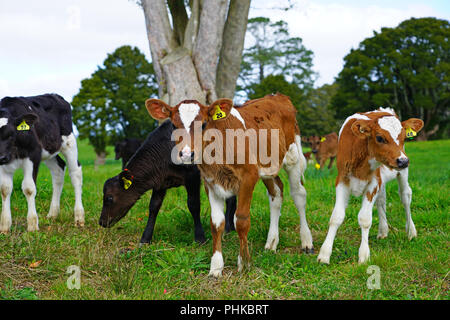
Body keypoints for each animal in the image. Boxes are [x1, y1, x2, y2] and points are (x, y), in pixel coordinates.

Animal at [0, 93, 84, 232]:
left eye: (11, 134)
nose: (2, 157)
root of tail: (56, 95)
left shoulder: (33, 154)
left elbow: (29, 188)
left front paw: (32, 225)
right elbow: (5, 189)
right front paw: (5, 226)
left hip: (69, 141)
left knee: (75, 174)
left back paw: (79, 217)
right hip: (49, 150)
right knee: (58, 171)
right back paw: (53, 214)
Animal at [147, 93, 312, 278]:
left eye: (203, 124)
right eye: (174, 126)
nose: (187, 154)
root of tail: (277, 95)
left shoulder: (249, 176)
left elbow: (241, 220)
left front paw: (244, 262)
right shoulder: (210, 182)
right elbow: (217, 223)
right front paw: (216, 266)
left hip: (293, 157)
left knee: (299, 195)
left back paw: (306, 242)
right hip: (268, 167)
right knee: (276, 194)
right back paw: (271, 242)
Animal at [318, 108, 424, 264]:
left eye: (404, 137)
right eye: (379, 138)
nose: (403, 161)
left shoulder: (373, 183)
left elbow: (365, 219)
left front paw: (364, 255)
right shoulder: (342, 180)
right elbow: (336, 216)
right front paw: (324, 254)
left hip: (402, 173)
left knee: (405, 196)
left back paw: (411, 231)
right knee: (381, 200)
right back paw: (383, 231)